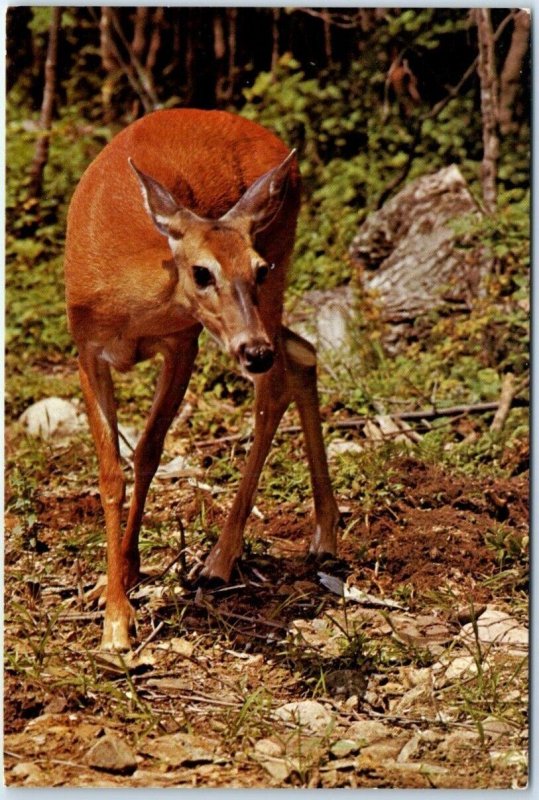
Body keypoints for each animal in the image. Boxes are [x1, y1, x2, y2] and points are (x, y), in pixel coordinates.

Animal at [65, 108, 340, 648]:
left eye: (256, 267)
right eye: (201, 272)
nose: (254, 351)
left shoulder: (183, 341)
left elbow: (148, 452)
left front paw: (119, 615)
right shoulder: (86, 350)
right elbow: (111, 474)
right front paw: (114, 592)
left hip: (275, 275)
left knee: (275, 383)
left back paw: (221, 558)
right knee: (302, 353)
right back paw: (324, 532)